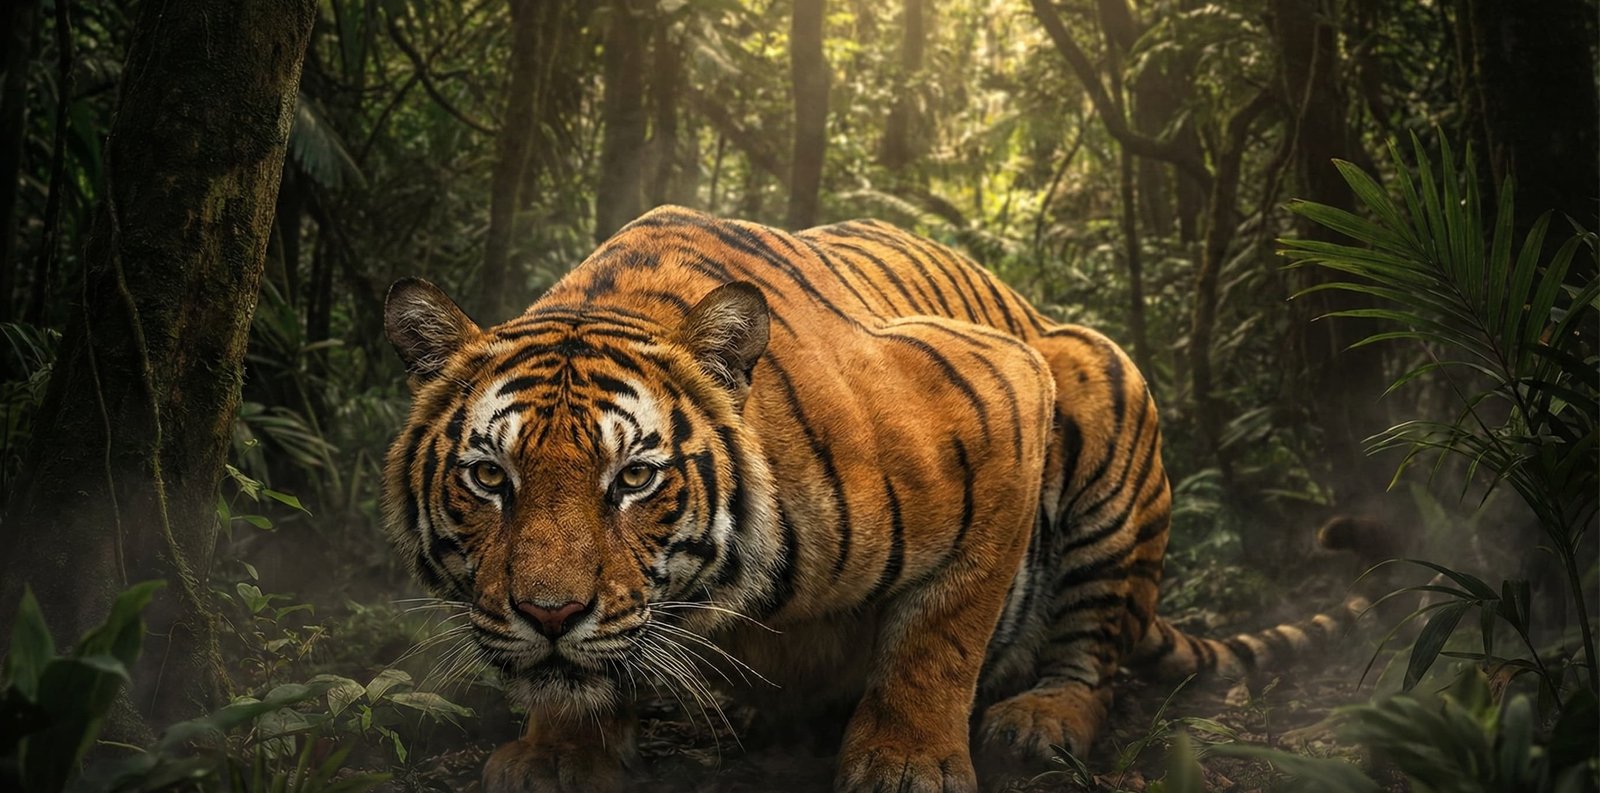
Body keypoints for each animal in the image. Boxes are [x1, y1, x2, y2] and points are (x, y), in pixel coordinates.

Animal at [381, 205, 1365, 792]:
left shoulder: (1004, 394)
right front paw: (557, 751)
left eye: (633, 478)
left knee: (1093, 652)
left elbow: (939, 633)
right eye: (488, 477)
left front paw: (906, 762)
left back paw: (1041, 718)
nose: (550, 614)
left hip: (1096, 375)